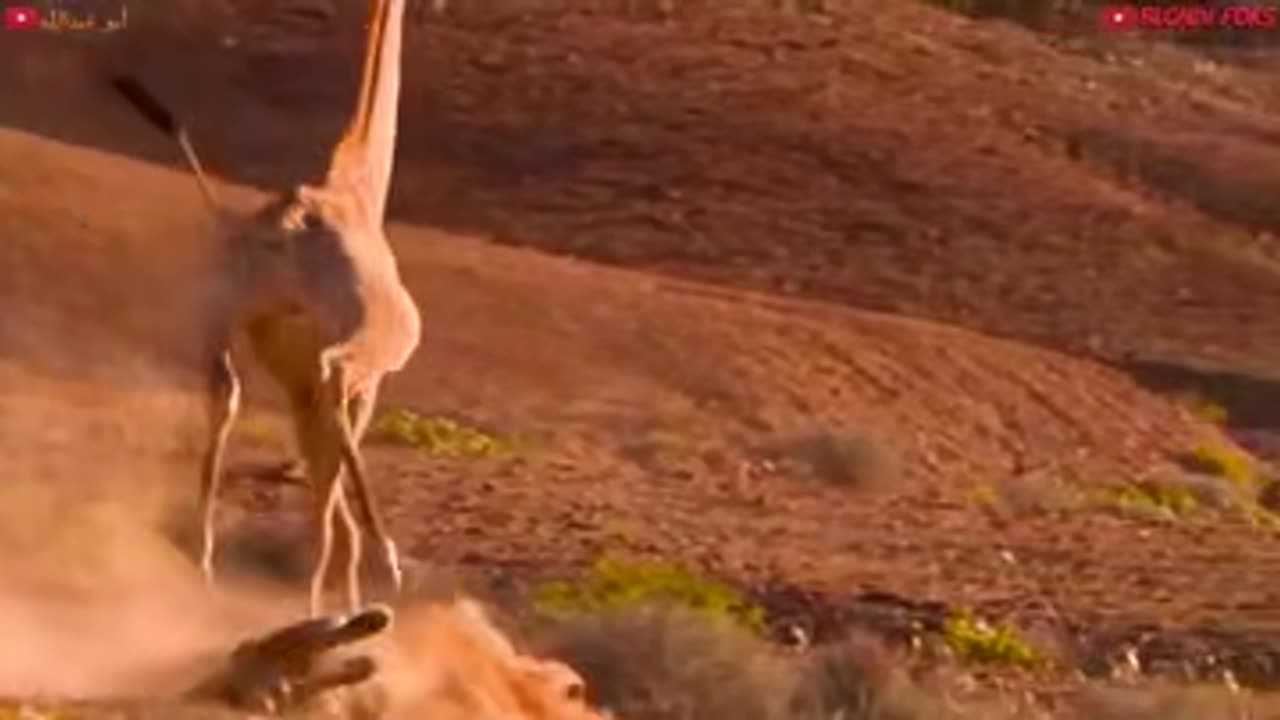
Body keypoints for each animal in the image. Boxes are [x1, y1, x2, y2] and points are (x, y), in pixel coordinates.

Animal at [110, 0, 420, 617]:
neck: (360, 188)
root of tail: (289, 218)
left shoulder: (302, 395)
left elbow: (328, 495)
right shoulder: (361, 384)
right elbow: (335, 498)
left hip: (221, 320)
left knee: (224, 398)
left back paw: (206, 566)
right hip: (358, 350)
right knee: (327, 397)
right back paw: (374, 569)